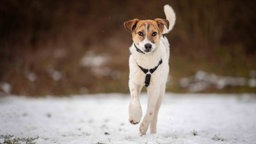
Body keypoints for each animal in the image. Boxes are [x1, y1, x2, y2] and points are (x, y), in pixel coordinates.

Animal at [123, 4, 176, 135]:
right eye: (140, 33)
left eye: (154, 33)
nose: (148, 46)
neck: (147, 61)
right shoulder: (134, 82)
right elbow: (135, 99)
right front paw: (134, 116)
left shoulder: (155, 88)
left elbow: (150, 111)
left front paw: (143, 127)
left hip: (161, 91)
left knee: (155, 113)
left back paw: (152, 132)